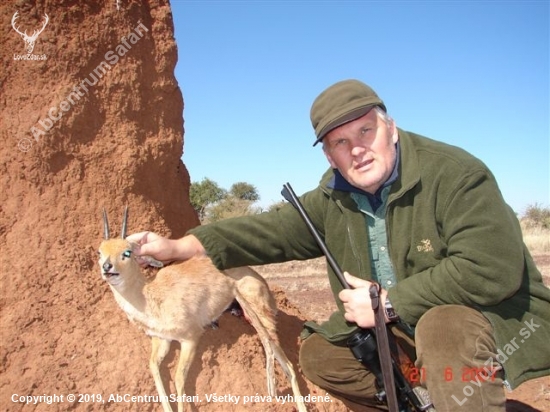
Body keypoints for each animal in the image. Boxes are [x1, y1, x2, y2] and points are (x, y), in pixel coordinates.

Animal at [97, 208, 308, 412]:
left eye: (127, 252)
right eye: (99, 252)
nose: (107, 267)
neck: (150, 297)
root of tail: (261, 280)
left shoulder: (191, 338)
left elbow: (179, 379)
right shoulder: (162, 339)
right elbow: (154, 368)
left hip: (262, 317)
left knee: (289, 366)